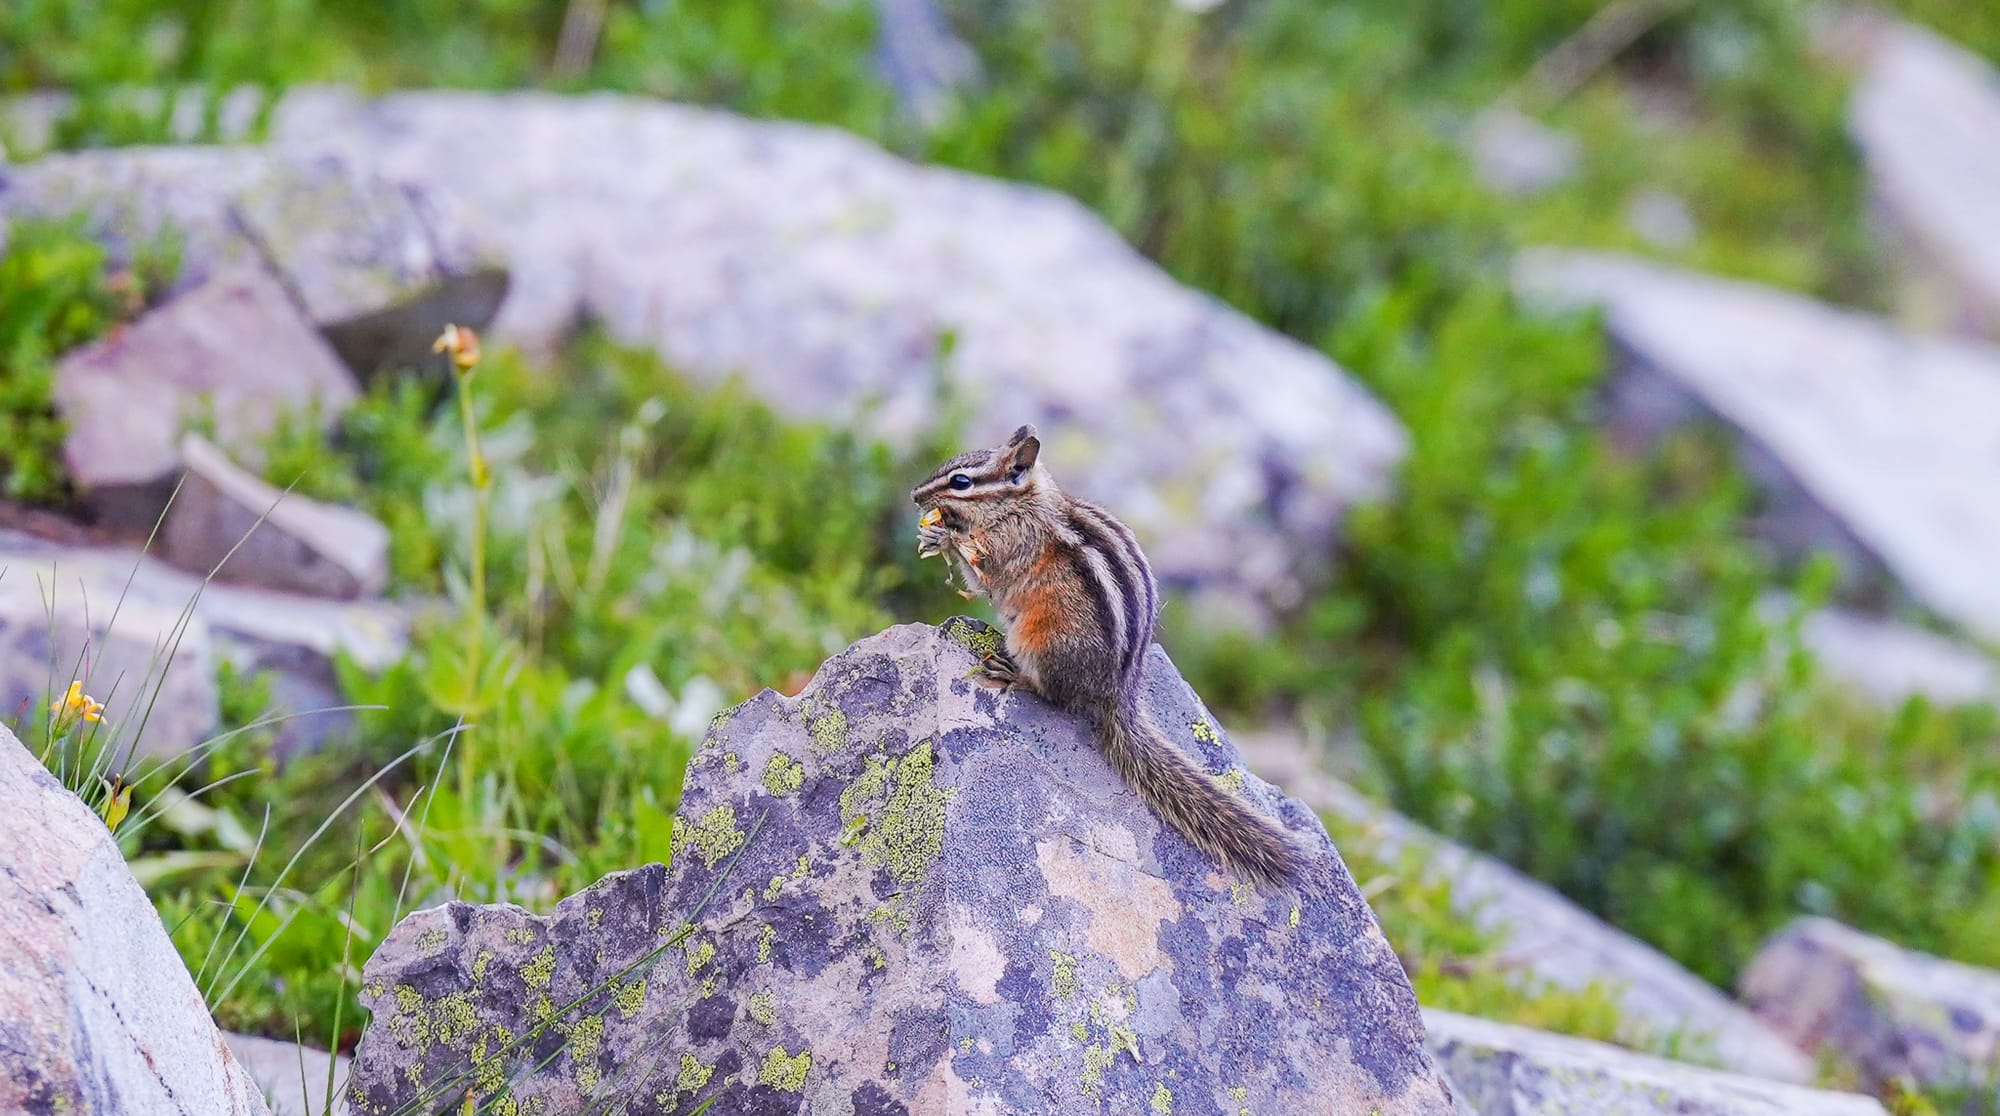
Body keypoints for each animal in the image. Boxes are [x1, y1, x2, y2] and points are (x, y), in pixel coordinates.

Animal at [912, 424, 1301, 886]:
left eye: (961, 482)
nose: (915, 495)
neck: (1022, 506)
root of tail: (1118, 691)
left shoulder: (1009, 550)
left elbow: (983, 577)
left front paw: (944, 538)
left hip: (1038, 641)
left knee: (1052, 693)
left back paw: (1010, 672)